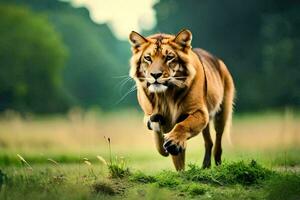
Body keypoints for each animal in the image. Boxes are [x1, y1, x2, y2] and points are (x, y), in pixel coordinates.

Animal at [128, 29, 234, 170]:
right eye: (148, 58)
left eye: (169, 57)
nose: (155, 75)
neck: (165, 95)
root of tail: (219, 61)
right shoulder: (157, 117)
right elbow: (163, 147)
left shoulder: (199, 112)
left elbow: (184, 125)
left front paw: (173, 141)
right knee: (209, 142)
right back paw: (205, 166)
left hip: (222, 114)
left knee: (218, 142)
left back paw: (217, 166)